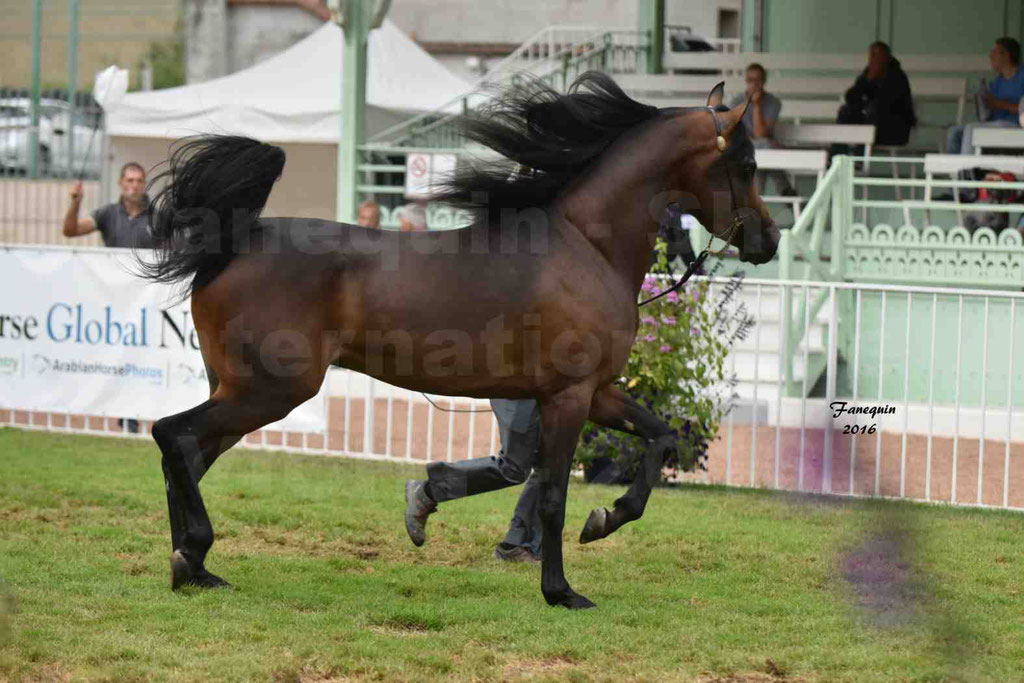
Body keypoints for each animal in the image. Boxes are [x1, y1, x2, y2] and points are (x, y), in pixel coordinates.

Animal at [142, 73, 774, 610]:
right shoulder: (569, 397)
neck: (585, 245)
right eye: (745, 164)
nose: (768, 241)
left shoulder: (599, 392)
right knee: (171, 434)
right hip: (269, 391)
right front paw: (561, 591)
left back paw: (194, 568)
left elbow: (661, 439)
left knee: (188, 455)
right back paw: (192, 554)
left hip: (239, 390)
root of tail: (230, 245)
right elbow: (552, 496)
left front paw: (605, 519)